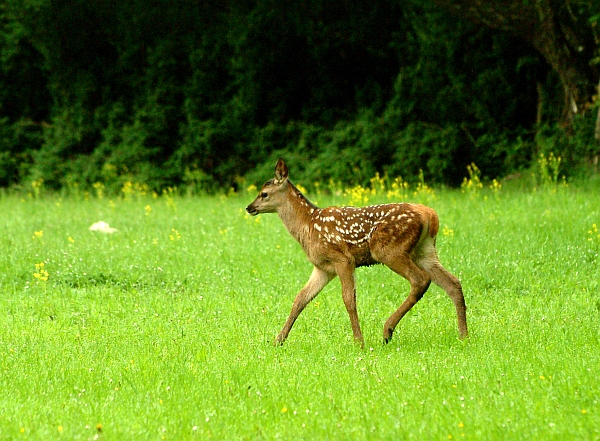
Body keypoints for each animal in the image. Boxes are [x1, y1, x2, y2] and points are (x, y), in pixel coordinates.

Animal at [246, 156, 466, 346]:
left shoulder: (342, 259)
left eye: (264, 193)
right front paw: (278, 340)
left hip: (389, 250)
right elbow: (300, 299)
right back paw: (464, 336)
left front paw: (359, 342)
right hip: (425, 250)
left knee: (420, 280)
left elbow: (348, 299)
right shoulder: (323, 268)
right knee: (453, 282)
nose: (249, 207)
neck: (307, 225)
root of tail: (430, 215)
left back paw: (387, 330)